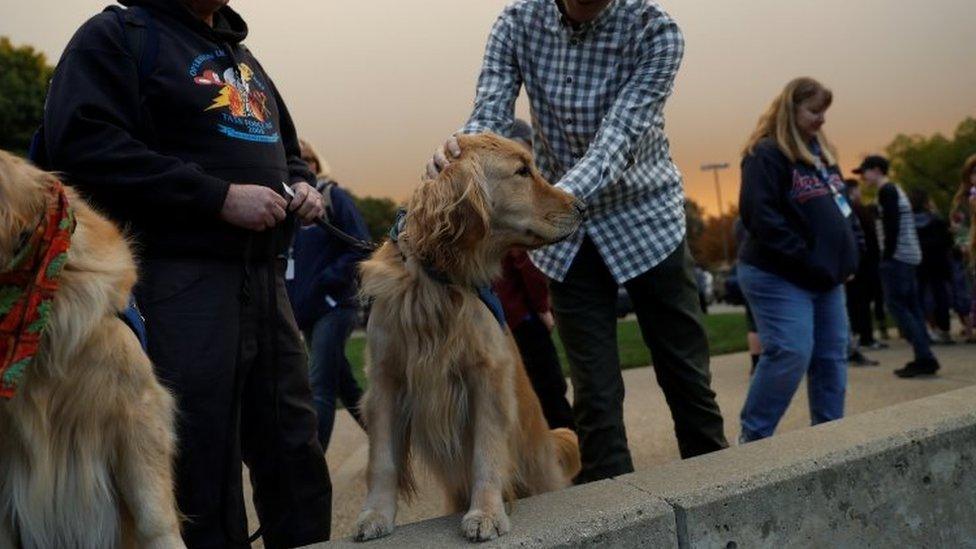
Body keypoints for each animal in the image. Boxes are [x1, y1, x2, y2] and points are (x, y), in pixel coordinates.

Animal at [358, 133, 588, 540]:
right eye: (522, 171)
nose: (583, 207)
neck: (437, 282)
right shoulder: (385, 379)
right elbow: (382, 460)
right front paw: (375, 515)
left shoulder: (487, 377)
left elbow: (486, 453)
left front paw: (486, 513)